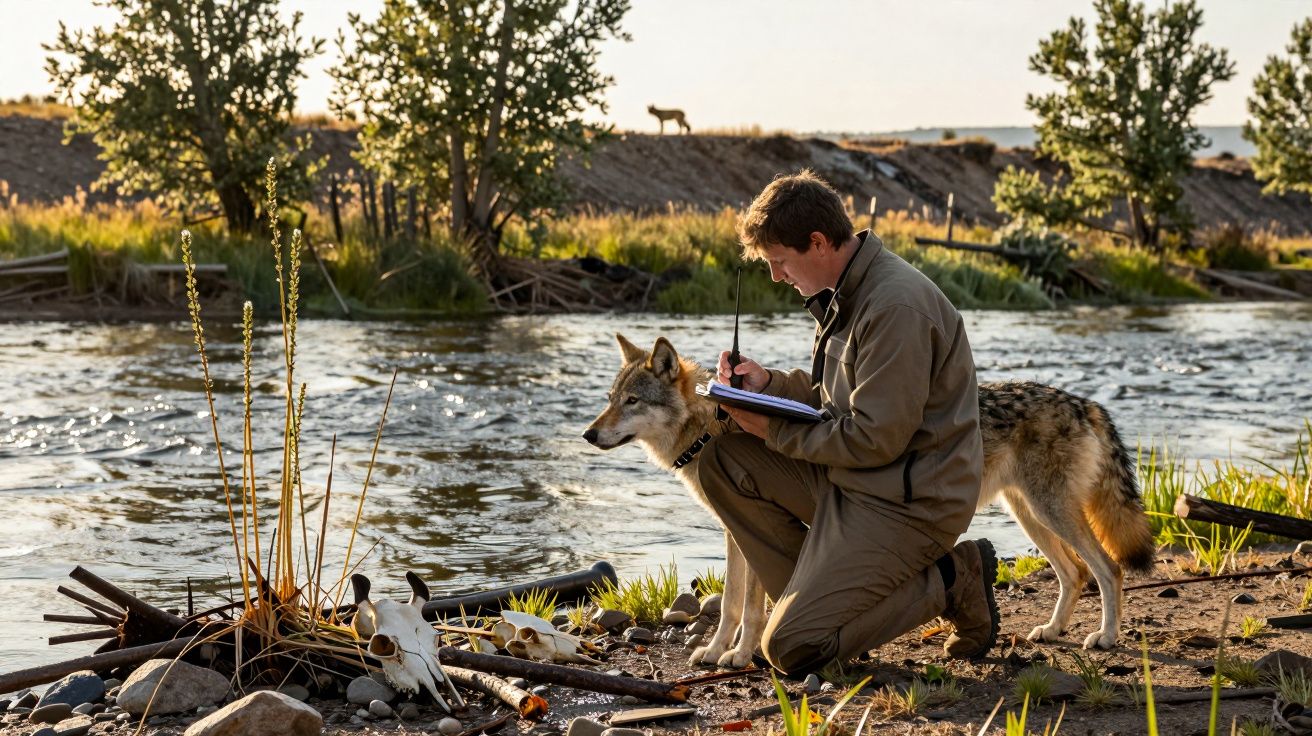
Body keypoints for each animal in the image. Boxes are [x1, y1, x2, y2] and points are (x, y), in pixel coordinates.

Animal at [583, 334, 1155, 668]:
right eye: (610, 399)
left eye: (631, 401)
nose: (588, 434)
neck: (709, 428)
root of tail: (1085, 402)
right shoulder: (730, 530)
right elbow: (730, 606)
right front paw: (716, 650)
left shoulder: (736, 527)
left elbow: (744, 606)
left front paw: (739, 656)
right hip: (1031, 516)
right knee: (1073, 573)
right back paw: (1050, 630)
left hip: (1050, 513)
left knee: (1107, 569)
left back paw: (1105, 638)